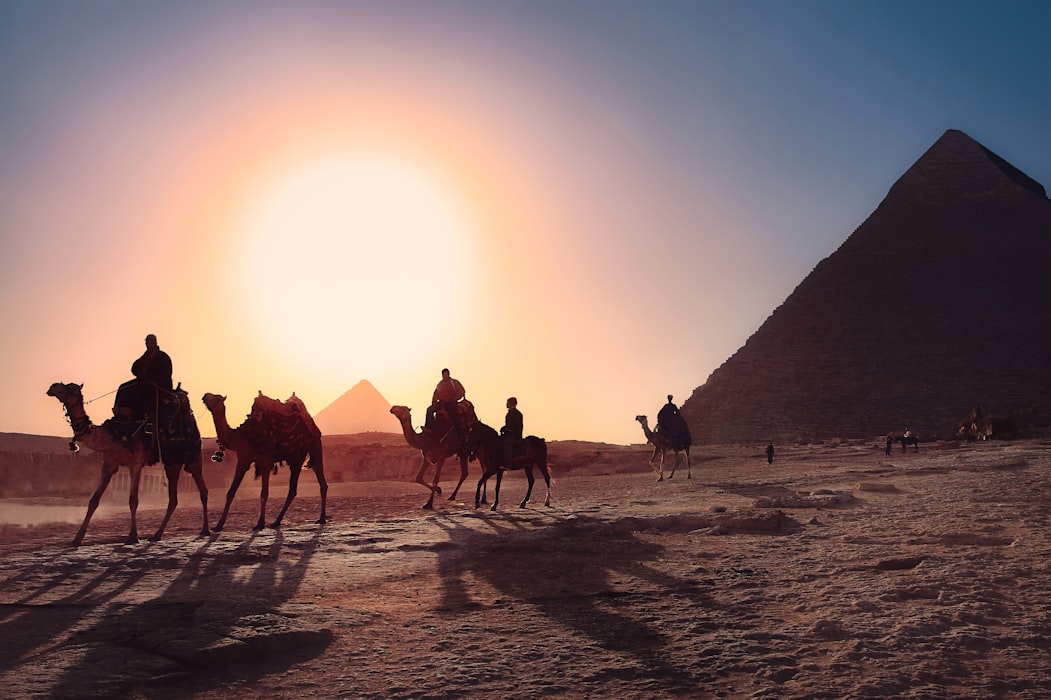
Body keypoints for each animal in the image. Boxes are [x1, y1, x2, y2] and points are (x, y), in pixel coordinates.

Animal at [46, 382, 209, 546]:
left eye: (71, 389)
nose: (52, 387)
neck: (114, 435)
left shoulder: (135, 464)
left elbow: (133, 501)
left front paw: (132, 537)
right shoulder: (109, 464)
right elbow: (93, 500)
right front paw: (77, 538)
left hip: (193, 457)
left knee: (203, 490)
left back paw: (205, 530)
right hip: (172, 462)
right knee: (173, 499)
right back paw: (156, 535)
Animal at [198, 393, 325, 529]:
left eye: (216, 398)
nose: (205, 396)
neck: (244, 436)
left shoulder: (266, 460)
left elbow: (264, 493)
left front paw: (260, 523)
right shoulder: (243, 460)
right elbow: (230, 492)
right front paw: (218, 525)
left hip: (313, 447)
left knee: (320, 482)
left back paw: (322, 518)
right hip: (295, 458)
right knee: (293, 490)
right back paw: (276, 522)